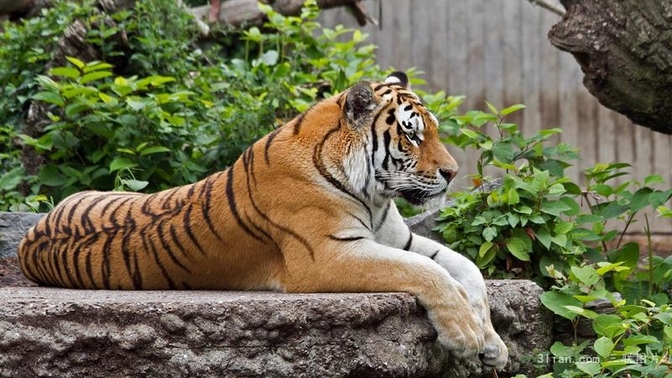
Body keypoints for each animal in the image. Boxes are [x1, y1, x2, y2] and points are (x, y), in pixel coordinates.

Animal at [17, 72, 510, 368]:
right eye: (411, 135)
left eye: (433, 130)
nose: (452, 173)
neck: (374, 195)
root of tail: (27, 237)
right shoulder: (328, 255)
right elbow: (427, 272)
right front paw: (465, 335)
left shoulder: (398, 239)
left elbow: (466, 268)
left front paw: (492, 343)